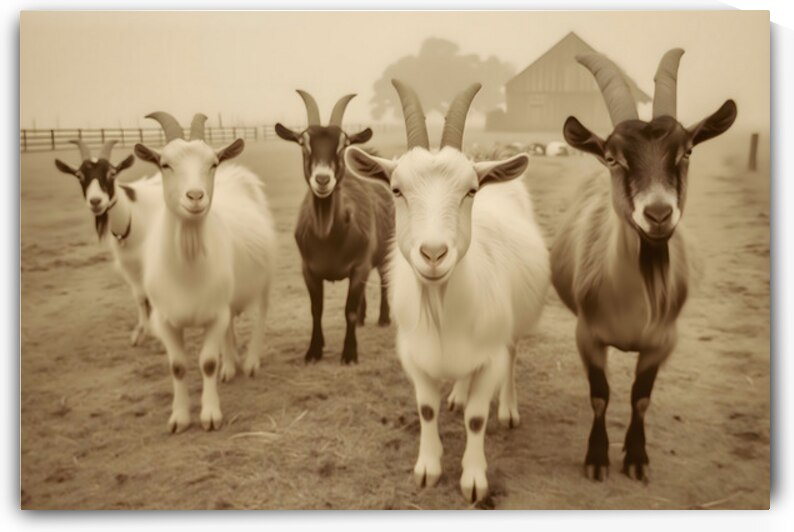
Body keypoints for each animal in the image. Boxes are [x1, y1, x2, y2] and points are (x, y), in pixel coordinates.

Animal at [55, 140, 160, 346]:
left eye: (112, 173)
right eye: (79, 175)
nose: (96, 201)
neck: (132, 217)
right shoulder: (129, 265)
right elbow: (140, 296)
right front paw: (141, 332)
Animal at [134, 112, 277, 433]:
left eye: (212, 163)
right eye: (164, 164)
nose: (196, 196)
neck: (187, 268)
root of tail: (237, 176)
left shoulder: (215, 314)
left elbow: (207, 362)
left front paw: (210, 415)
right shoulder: (165, 320)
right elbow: (177, 366)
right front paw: (179, 418)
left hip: (264, 280)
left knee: (261, 314)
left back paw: (249, 362)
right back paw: (230, 366)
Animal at [275, 91, 394, 365]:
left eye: (343, 144)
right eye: (303, 143)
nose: (322, 179)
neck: (327, 237)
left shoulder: (359, 265)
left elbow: (348, 310)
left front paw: (349, 354)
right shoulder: (308, 269)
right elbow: (316, 309)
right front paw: (313, 351)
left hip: (385, 249)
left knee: (384, 280)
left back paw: (383, 318)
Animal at [346, 80, 549, 503]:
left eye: (470, 190)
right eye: (396, 189)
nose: (434, 253)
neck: (441, 311)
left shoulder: (490, 357)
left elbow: (476, 418)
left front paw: (473, 478)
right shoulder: (414, 356)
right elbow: (427, 409)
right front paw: (428, 468)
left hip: (513, 329)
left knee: (513, 356)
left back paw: (508, 409)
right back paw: (456, 393)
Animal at [551, 49, 737, 481]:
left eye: (687, 151)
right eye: (612, 158)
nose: (658, 214)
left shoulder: (662, 342)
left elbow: (640, 399)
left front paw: (636, 457)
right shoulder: (587, 336)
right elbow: (600, 397)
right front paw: (597, 459)